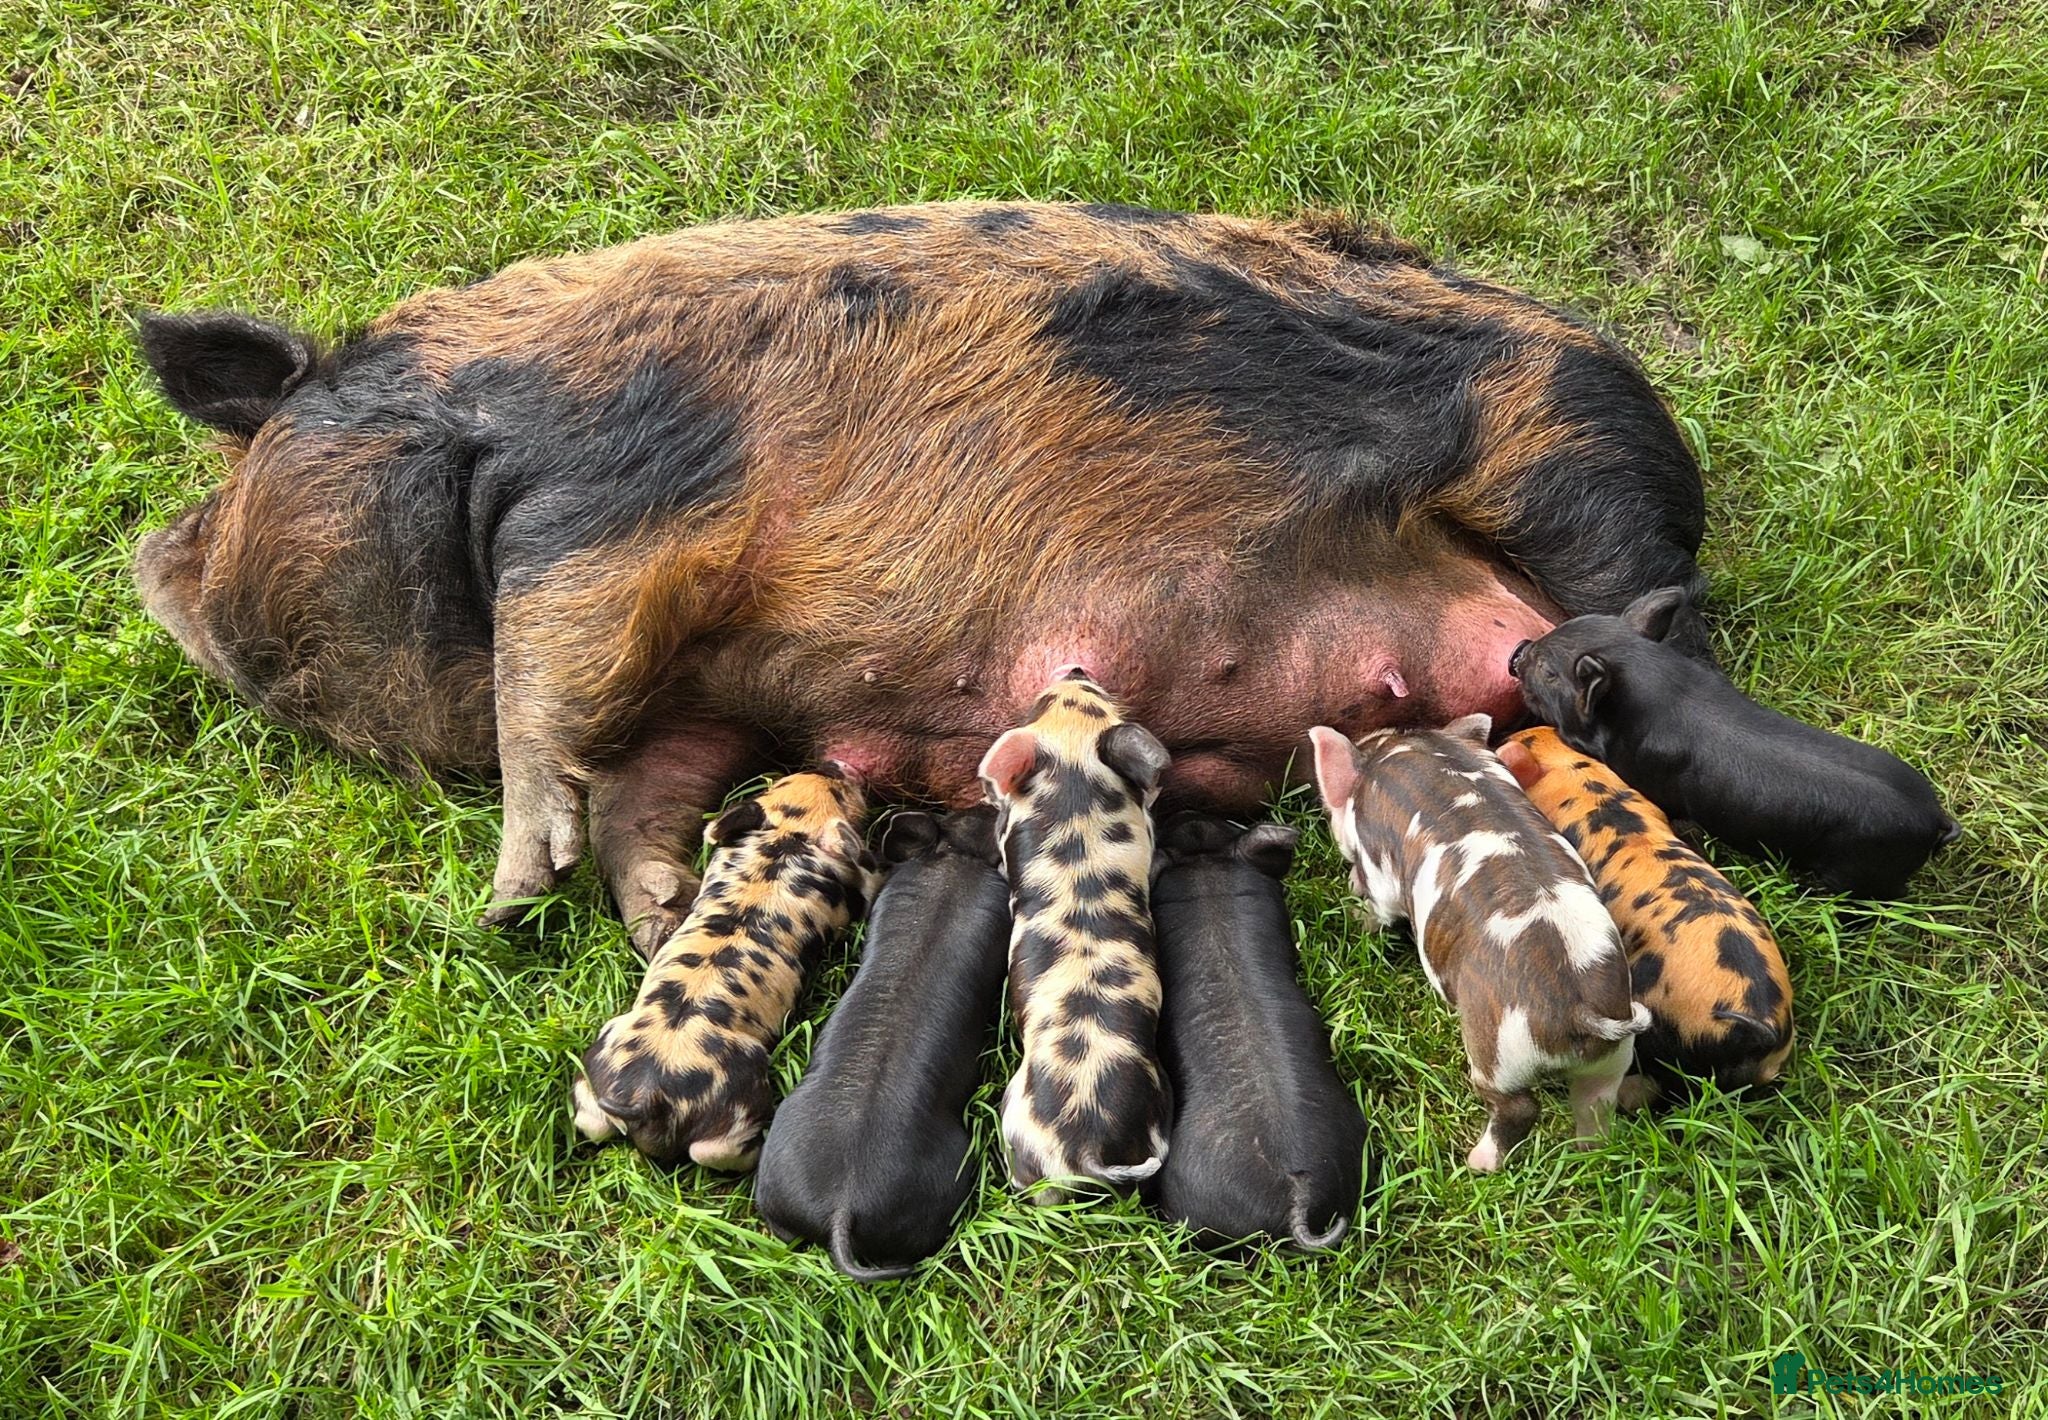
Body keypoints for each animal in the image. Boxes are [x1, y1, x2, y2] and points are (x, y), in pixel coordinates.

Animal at [129, 202, 1711, 952]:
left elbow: (540, 689)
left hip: (1570, 456)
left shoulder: (612, 512)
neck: (473, 430)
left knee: (1657, 631)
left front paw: (513, 897)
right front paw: (650, 917)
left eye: (245, 448)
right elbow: (641, 776)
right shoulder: (704, 676)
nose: (151, 559)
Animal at [572, 770, 875, 1169]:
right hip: (741, 1084)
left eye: (782, 781)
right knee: (713, 1148)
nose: (835, 768)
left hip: (599, 1063)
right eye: (839, 794)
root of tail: (646, 1095)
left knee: (589, 1118)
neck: (785, 838)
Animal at [1310, 717, 1649, 1170]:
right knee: (1596, 1104)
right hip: (1612, 1058)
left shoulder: (1380, 872)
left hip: (1498, 1052)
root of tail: (1580, 1009)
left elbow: (1380, 908)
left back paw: (1478, 1163)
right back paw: (1588, 1152)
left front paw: (1355, 913)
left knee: (1517, 1108)